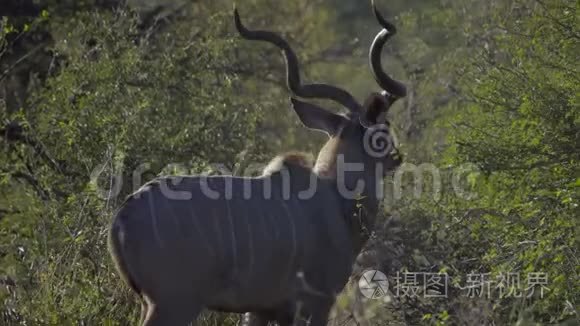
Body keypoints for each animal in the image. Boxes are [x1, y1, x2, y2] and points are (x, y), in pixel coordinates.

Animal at [110, 1, 408, 324]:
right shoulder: (317, 301)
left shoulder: (261, 309)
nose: (397, 157)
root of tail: (122, 218)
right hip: (173, 303)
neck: (336, 199)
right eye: (383, 130)